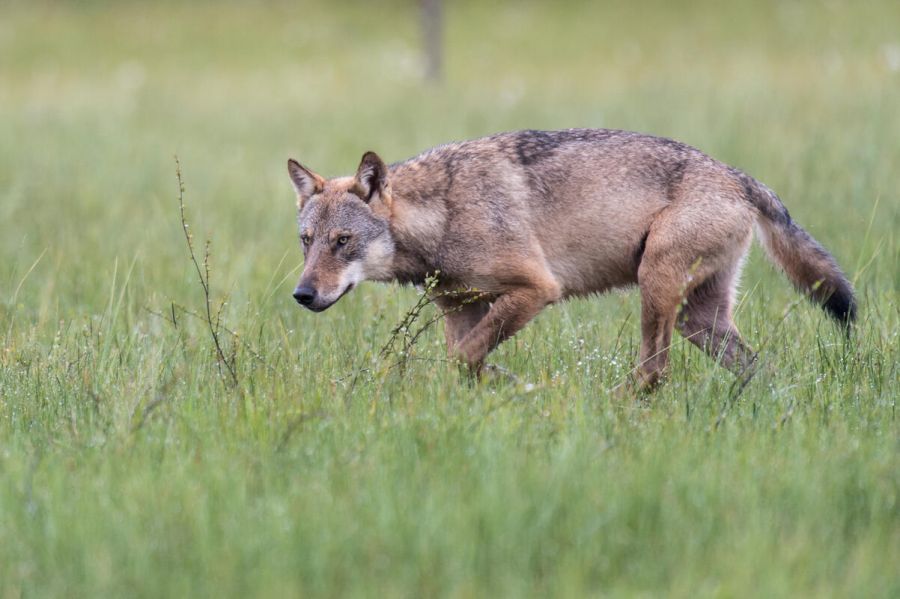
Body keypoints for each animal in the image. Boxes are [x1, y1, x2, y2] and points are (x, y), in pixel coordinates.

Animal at [286, 128, 852, 386]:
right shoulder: (460, 309)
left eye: (342, 241)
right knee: (757, 370)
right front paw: (505, 386)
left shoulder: (537, 289)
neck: (442, 212)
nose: (302, 294)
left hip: (656, 288)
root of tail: (738, 176)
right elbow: (462, 361)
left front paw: (517, 385)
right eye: (307, 241)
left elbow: (467, 358)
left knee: (654, 373)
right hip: (699, 320)